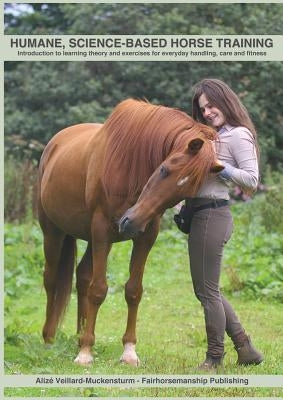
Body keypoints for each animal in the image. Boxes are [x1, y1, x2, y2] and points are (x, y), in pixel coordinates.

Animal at [37, 97, 223, 366]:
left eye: (185, 192)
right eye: (164, 169)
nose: (130, 223)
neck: (129, 164)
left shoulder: (145, 237)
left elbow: (133, 291)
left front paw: (128, 350)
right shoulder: (102, 229)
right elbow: (98, 290)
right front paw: (86, 352)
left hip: (91, 238)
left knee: (82, 276)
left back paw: (78, 337)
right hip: (54, 231)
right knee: (51, 279)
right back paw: (50, 339)